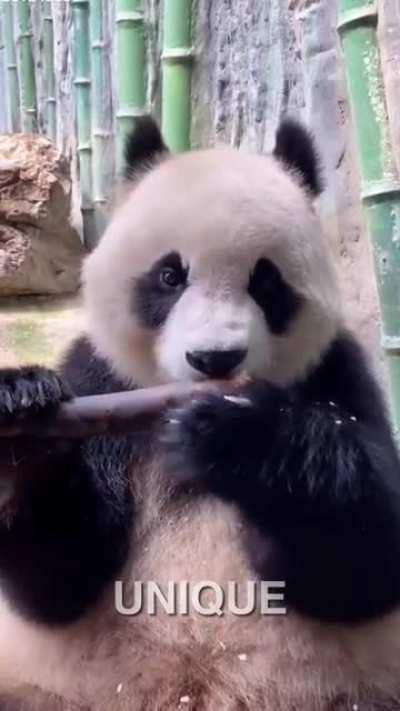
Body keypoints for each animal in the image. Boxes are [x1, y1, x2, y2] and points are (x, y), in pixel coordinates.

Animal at [1, 116, 400, 711]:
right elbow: (58, 579)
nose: (215, 360)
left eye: (266, 281)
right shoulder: (99, 377)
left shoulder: (337, 374)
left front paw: (240, 436)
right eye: (170, 276)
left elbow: (365, 561)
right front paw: (26, 430)